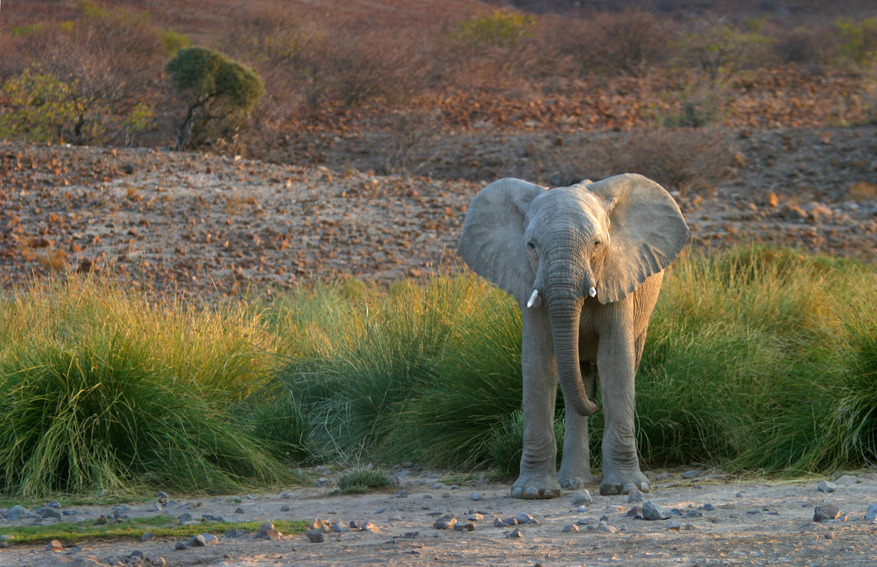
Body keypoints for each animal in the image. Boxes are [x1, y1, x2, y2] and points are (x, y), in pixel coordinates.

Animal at [456, 173, 688, 496]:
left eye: (597, 244)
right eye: (531, 245)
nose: (594, 406)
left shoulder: (618, 278)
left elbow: (616, 362)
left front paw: (626, 488)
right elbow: (538, 363)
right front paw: (533, 493)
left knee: (622, 365)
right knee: (577, 377)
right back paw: (573, 481)